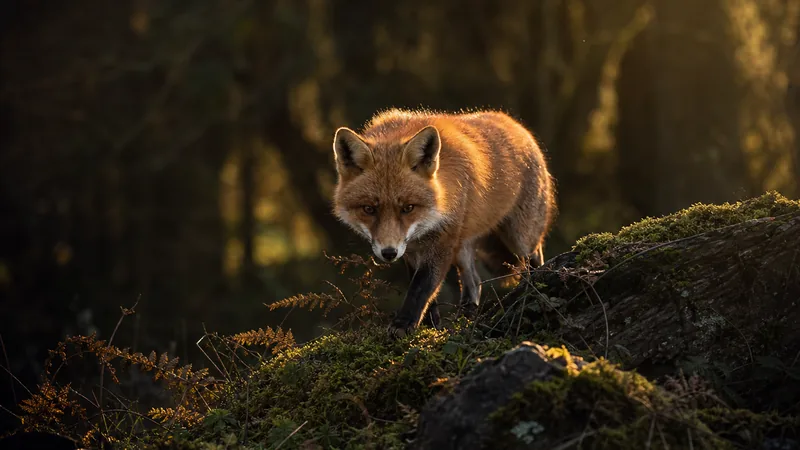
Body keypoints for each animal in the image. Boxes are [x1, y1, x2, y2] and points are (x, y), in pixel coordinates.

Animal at [330, 108, 556, 338]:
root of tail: (514, 123)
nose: (389, 253)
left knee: (534, 259)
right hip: (463, 247)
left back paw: (535, 288)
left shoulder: (443, 240)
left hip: (520, 238)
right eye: (369, 209)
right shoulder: (411, 248)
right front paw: (430, 325)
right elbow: (422, 288)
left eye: (408, 208)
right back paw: (466, 319)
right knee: (475, 282)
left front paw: (404, 323)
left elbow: (422, 285)